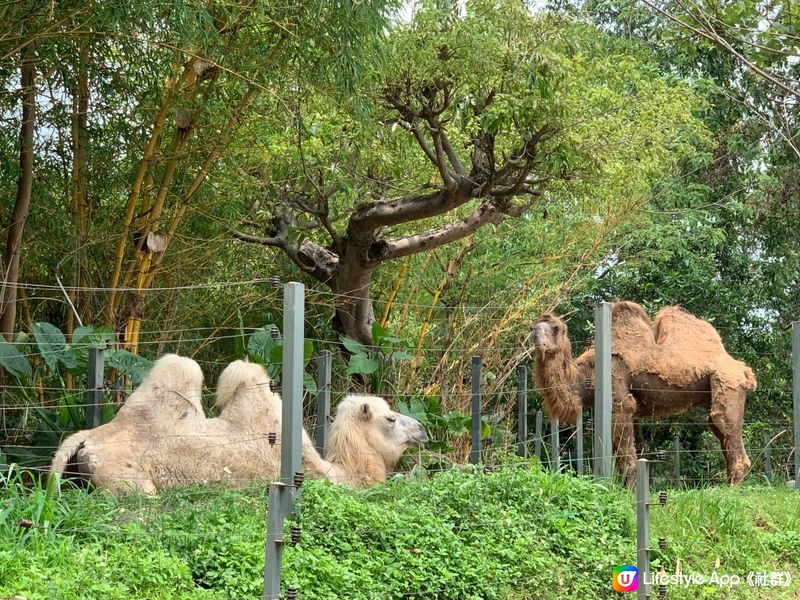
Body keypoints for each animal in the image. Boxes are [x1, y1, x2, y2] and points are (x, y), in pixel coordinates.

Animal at [532, 302, 756, 486]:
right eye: (533, 327)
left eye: (556, 328)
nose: (536, 337)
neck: (587, 375)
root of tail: (743, 370)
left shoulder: (621, 404)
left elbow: (627, 457)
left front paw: (629, 491)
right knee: (719, 432)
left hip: (728, 385)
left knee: (727, 430)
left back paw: (729, 491)